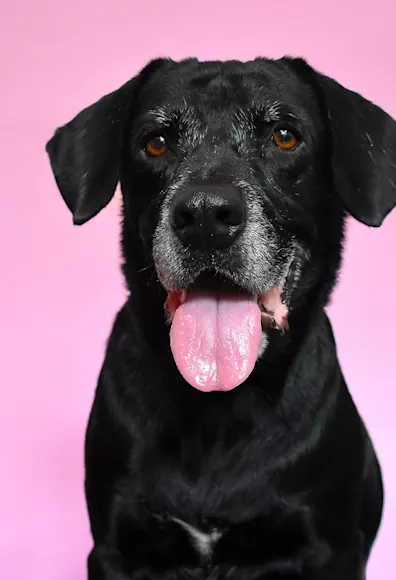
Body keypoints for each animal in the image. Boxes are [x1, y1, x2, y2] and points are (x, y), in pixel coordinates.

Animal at [44, 55, 394, 580]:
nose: (206, 216)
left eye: (284, 136)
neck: (218, 406)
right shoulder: (114, 550)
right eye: (156, 142)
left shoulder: (329, 548)